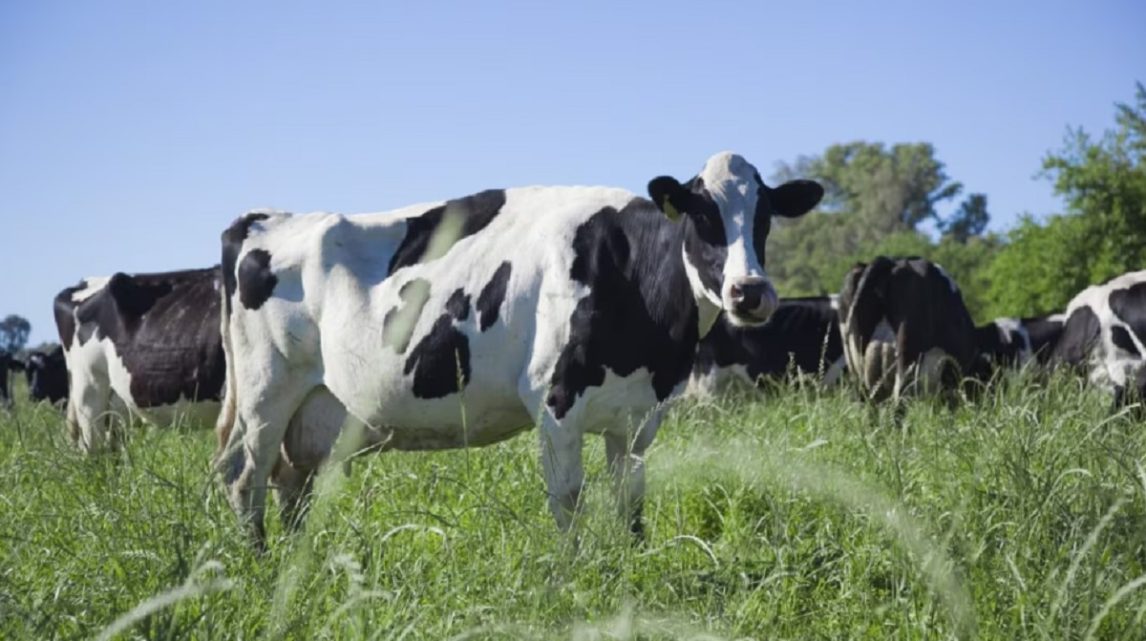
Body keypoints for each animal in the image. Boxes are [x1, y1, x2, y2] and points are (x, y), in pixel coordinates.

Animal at [215, 151, 823, 545]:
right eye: (701, 215)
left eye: (765, 217)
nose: (750, 292)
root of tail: (265, 218)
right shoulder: (556, 403)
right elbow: (569, 503)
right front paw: (576, 581)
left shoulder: (638, 419)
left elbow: (631, 506)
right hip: (266, 393)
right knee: (244, 480)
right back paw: (260, 564)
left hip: (315, 409)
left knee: (288, 483)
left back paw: (298, 561)